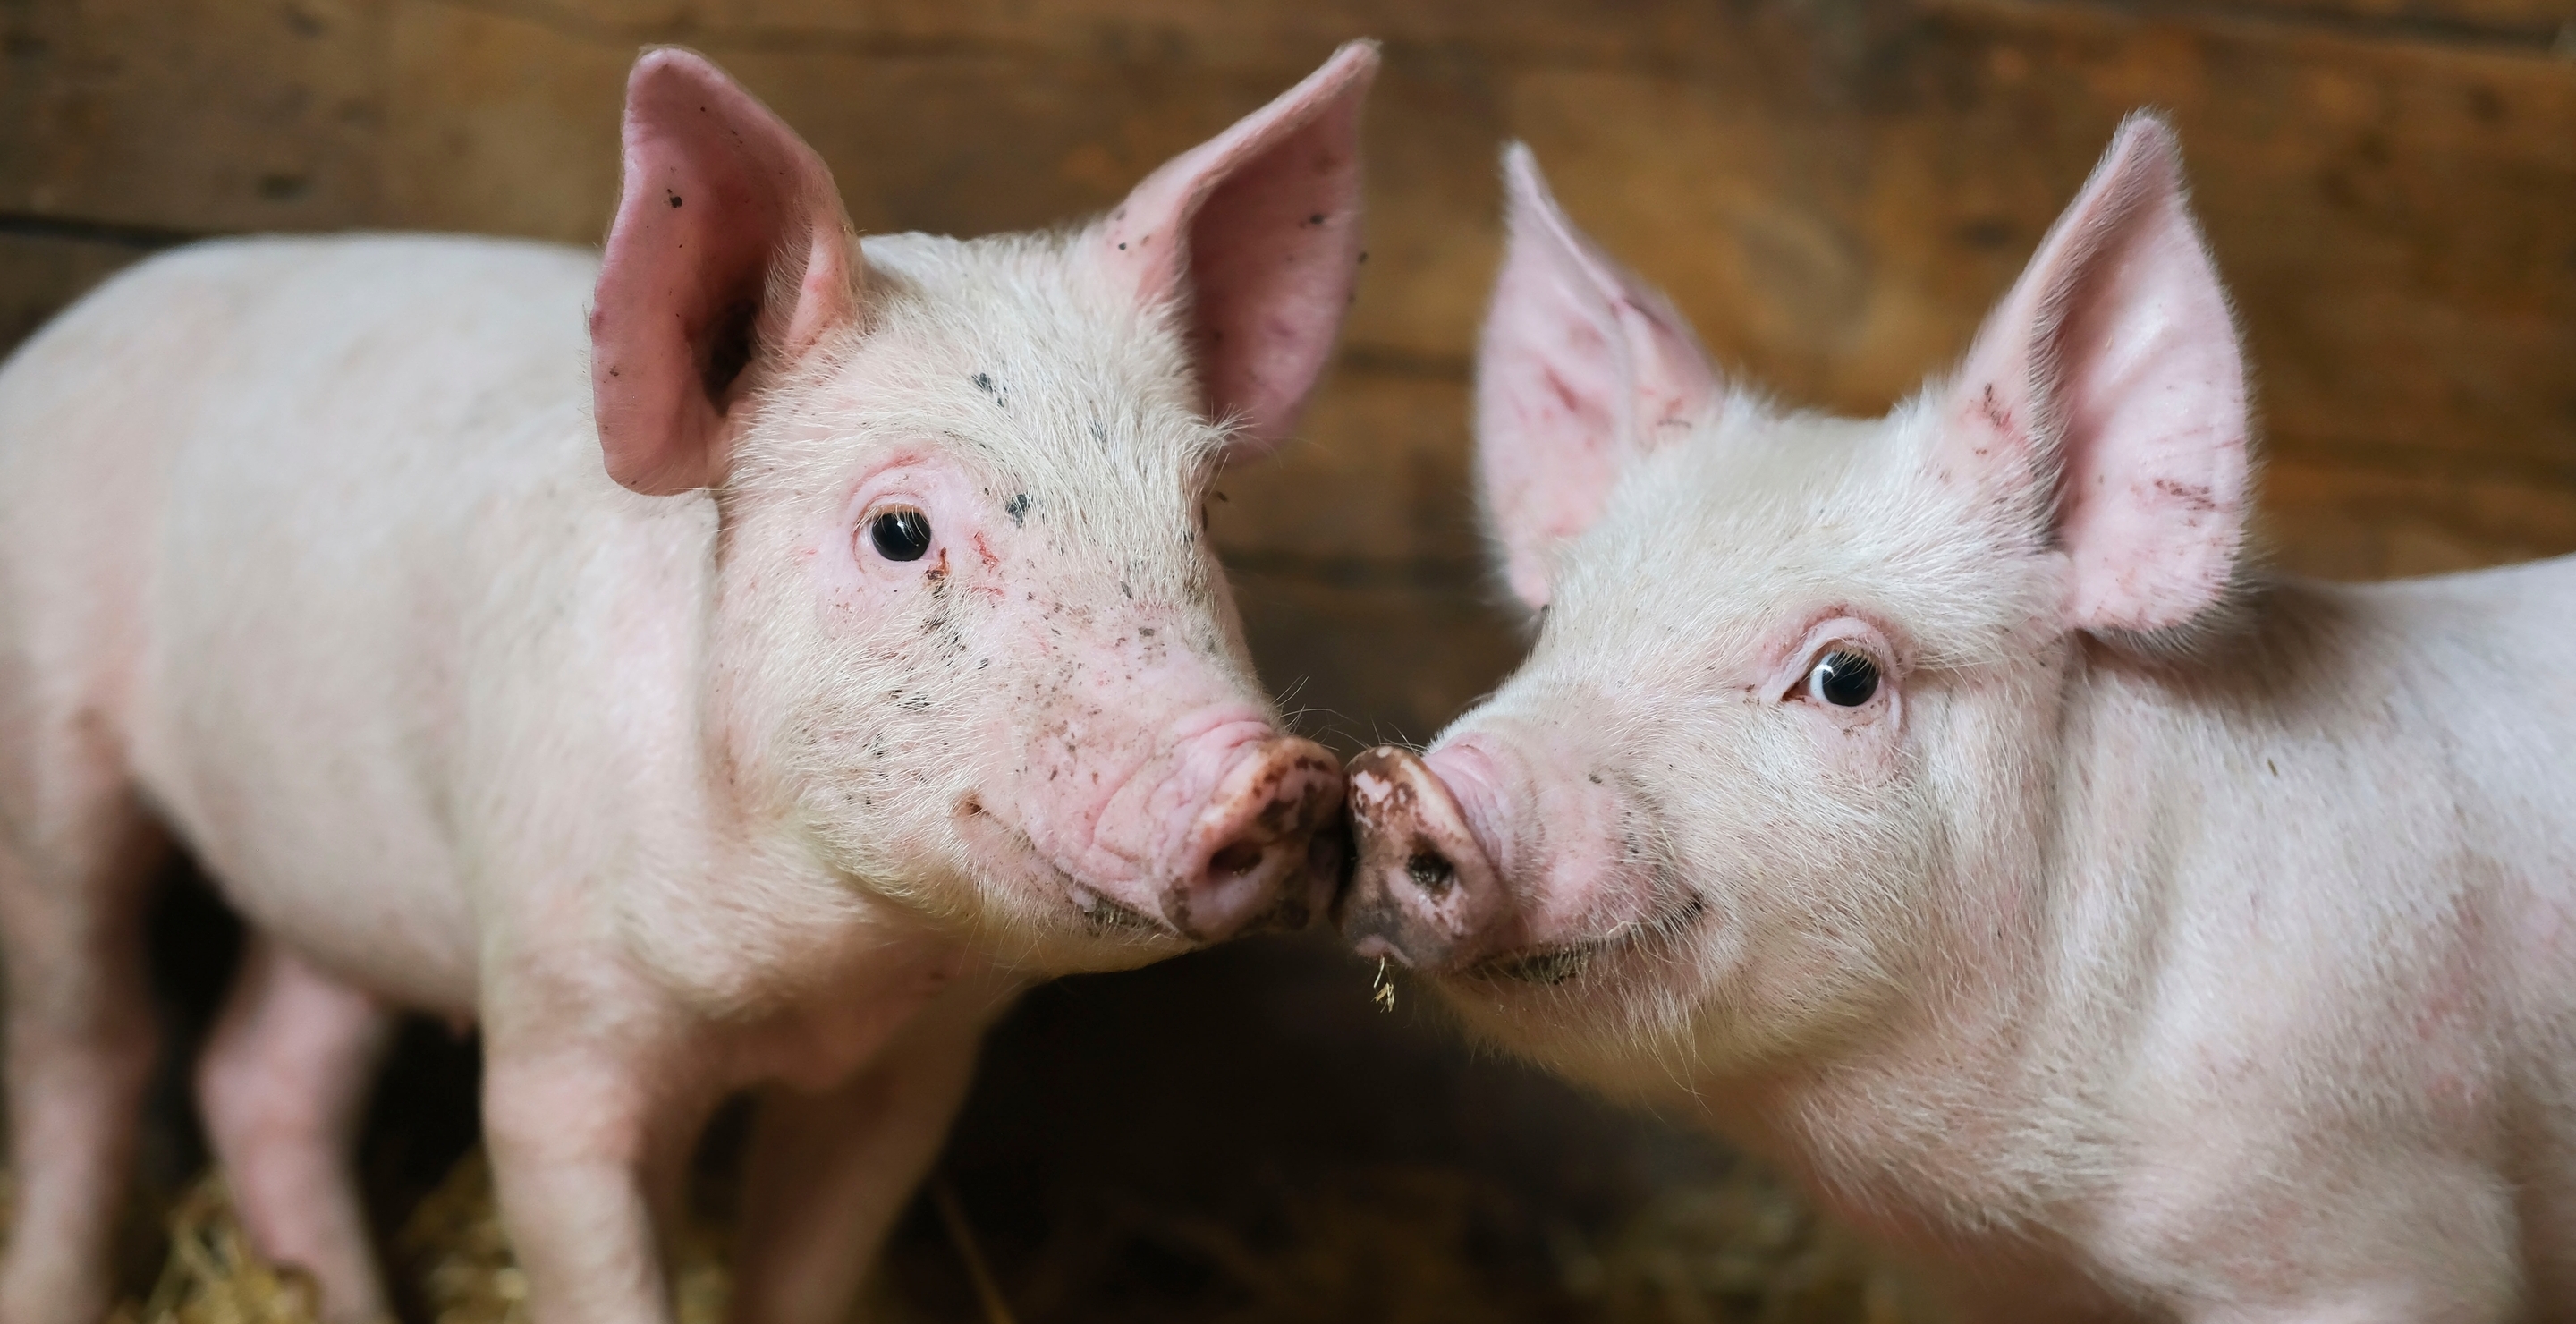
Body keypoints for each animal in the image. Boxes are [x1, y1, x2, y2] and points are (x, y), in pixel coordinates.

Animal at [0, 41, 1376, 1324]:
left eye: (1204, 511)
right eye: (900, 532)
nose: (1281, 773)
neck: (814, 982)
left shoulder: (910, 1074)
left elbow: (809, 1273)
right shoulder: (559, 1026)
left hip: (340, 856)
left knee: (264, 1075)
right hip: (47, 761)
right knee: (93, 1052)